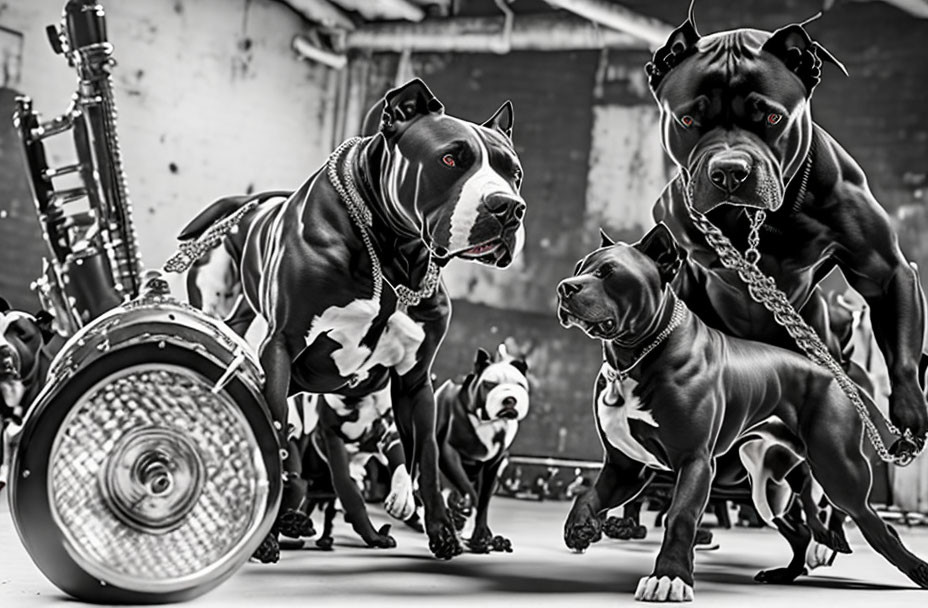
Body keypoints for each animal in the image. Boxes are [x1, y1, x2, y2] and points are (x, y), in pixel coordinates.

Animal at [436, 344, 528, 552]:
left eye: (520, 385)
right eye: (491, 384)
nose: (510, 399)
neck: (488, 421)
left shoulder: (493, 466)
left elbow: (483, 501)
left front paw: (481, 536)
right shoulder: (449, 453)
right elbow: (470, 493)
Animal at [560, 234, 928, 604]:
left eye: (609, 272)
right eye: (579, 267)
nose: (565, 287)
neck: (636, 357)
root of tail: (839, 378)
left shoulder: (694, 461)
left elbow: (680, 516)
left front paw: (669, 578)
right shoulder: (626, 467)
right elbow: (588, 495)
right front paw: (580, 528)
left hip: (840, 475)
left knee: (878, 527)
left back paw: (917, 571)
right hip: (768, 489)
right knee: (801, 532)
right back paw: (783, 575)